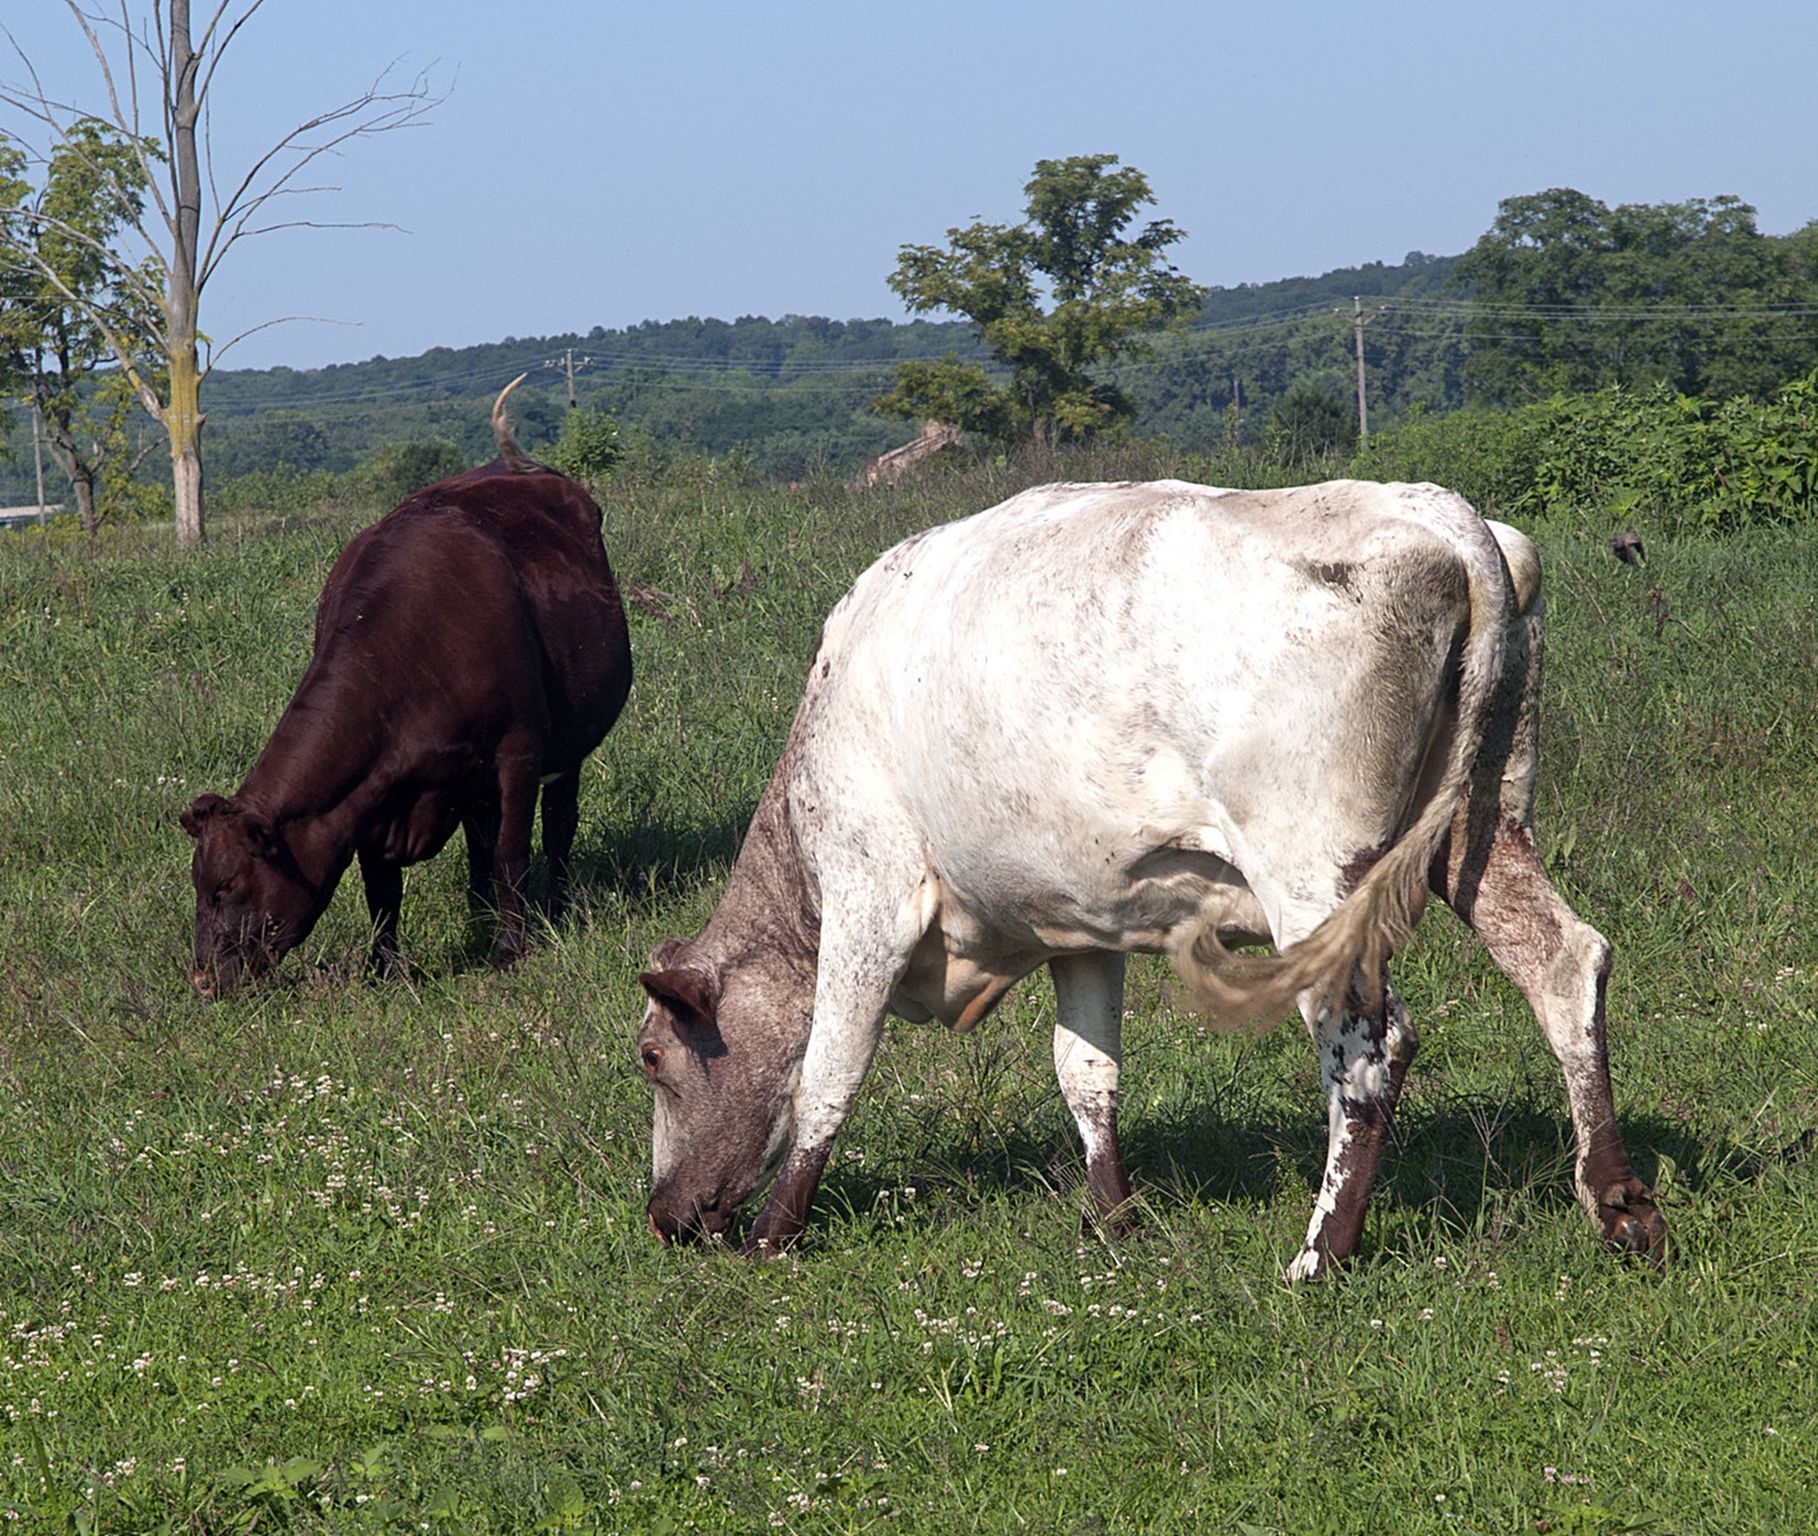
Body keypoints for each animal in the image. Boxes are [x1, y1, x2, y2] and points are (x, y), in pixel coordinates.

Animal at [179, 383, 632, 996]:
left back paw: (553, 907)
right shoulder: (372, 794)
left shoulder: (518, 752)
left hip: (567, 746)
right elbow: (383, 886)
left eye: (226, 886)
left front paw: (512, 949)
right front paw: (384, 968)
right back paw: (478, 915)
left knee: (557, 825)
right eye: (199, 885)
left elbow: (513, 852)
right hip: (477, 780)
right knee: (479, 837)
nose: (202, 980)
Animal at [636, 476, 1665, 1272]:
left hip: (1312, 876)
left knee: (1370, 1049)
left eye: (652, 1057)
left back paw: (1320, 1255)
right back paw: (1619, 1202)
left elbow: (829, 1071)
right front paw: (1113, 1218)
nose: (665, 1218)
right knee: (1564, 963)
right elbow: (1086, 1072)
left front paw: (774, 1235)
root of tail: (1447, 518)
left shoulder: (868, 891)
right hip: (1484, 824)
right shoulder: (1080, 923)